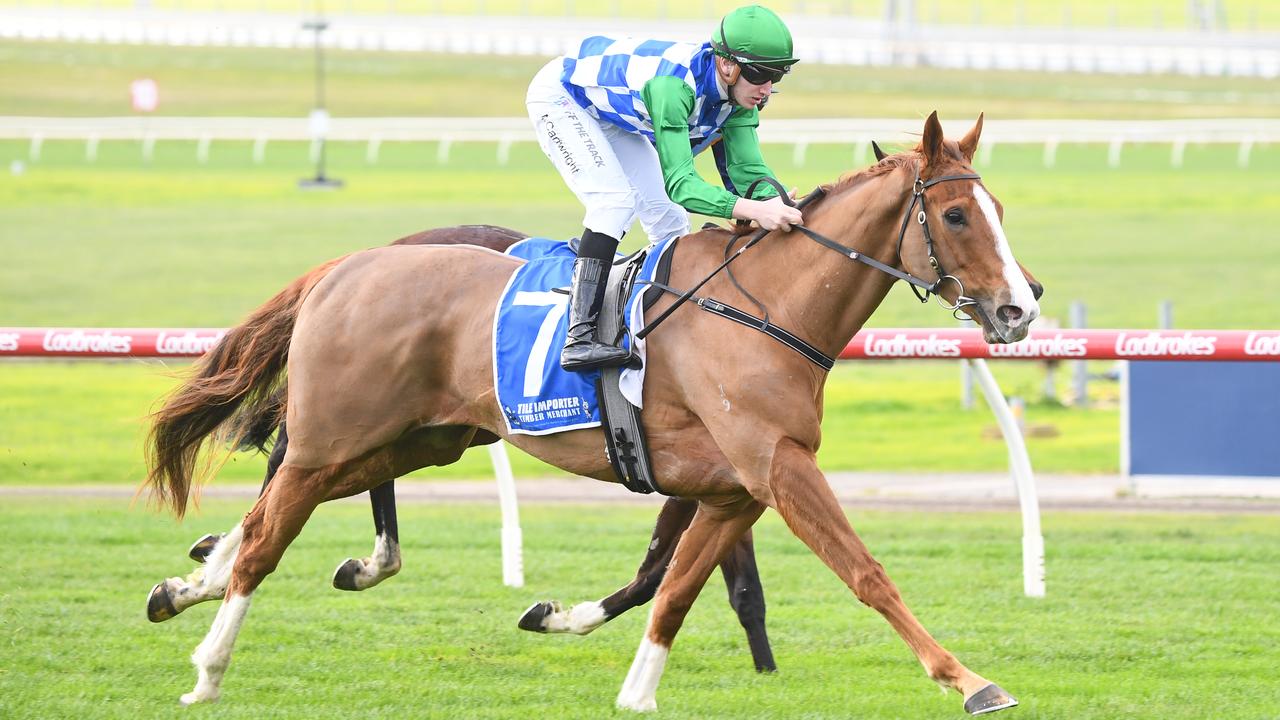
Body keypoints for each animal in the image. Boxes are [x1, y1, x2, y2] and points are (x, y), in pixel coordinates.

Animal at [144, 113, 1037, 714]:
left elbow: (670, 589)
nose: (1021, 308)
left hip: (417, 440)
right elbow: (865, 572)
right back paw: (208, 664)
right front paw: (969, 679)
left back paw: (187, 584)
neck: (765, 308)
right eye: (955, 215)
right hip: (339, 432)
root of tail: (348, 265)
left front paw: (631, 688)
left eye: (1000, 208)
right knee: (268, 528)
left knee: (275, 510)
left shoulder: (732, 490)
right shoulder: (778, 466)